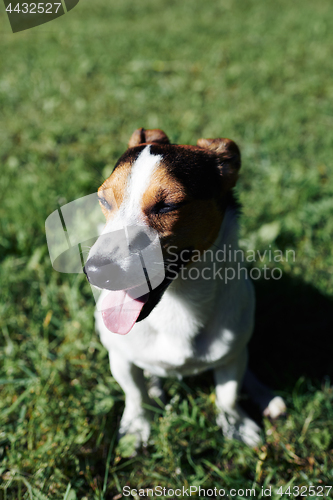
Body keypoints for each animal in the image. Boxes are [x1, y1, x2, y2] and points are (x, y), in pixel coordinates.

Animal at [83, 127, 286, 448]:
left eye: (168, 205)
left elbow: (227, 396)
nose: (95, 272)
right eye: (104, 201)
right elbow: (135, 394)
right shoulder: (120, 356)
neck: (177, 302)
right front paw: (137, 426)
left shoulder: (231, 357)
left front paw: (236, 426)